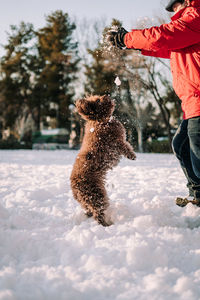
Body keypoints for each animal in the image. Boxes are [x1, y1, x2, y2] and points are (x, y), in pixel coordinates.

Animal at [70, 95, 136, 226]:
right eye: (98, 101)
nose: (107, 96)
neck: (99, 121)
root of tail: (75, 188)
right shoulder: (117, 141)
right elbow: (126, 147)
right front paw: (132, 155)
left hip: (89, 200)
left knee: (90, 211)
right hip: (97, 195)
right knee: (97, 214)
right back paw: (106, 225)